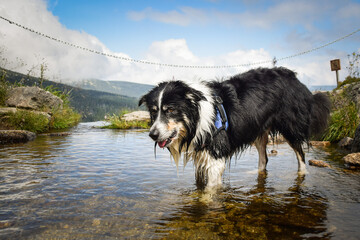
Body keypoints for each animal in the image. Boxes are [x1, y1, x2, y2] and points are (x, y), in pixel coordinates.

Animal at [139, 67, 330, 189]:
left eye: (170, 110)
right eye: (154, 112)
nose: (152, 135)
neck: (199, 116)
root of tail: (296, 79)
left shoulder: (216, 157)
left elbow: (208, 193)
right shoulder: (201, 154)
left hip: (290, 128)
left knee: (301, 155)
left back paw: (301, 175)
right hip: (258, 131)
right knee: (264, 160)